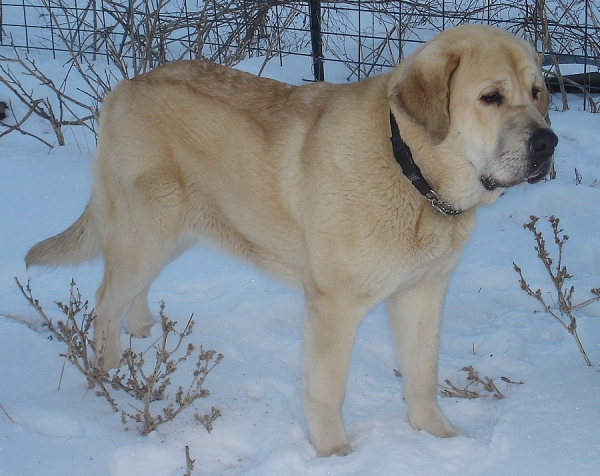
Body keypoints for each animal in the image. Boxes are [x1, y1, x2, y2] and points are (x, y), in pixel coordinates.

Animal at [24, 24, 556, 456]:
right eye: (491, 97)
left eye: (536, 93)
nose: (547, 143)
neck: (409, 168)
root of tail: (122, 87)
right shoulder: (334, 305)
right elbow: (327, 390)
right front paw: (336, 454)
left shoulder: (423, 292)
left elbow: (422, 376)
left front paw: (439, 438)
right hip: (148, 228)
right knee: (104, 298)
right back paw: (110, 371)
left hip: (175, 231)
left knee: (132, 290)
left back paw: (143, 331)